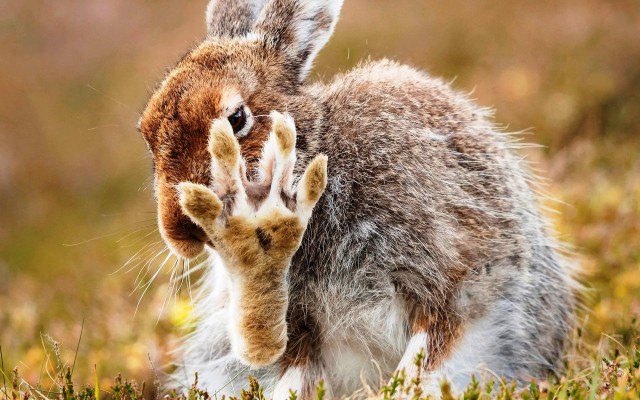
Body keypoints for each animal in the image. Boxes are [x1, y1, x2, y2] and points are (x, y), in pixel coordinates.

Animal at [137, 0, 577, 398]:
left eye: (236, 119)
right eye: (146, 134)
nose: (180, 231)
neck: (319, 159)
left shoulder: (452, 277)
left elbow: (426, 356)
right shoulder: (302, 329)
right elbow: (297, 379)